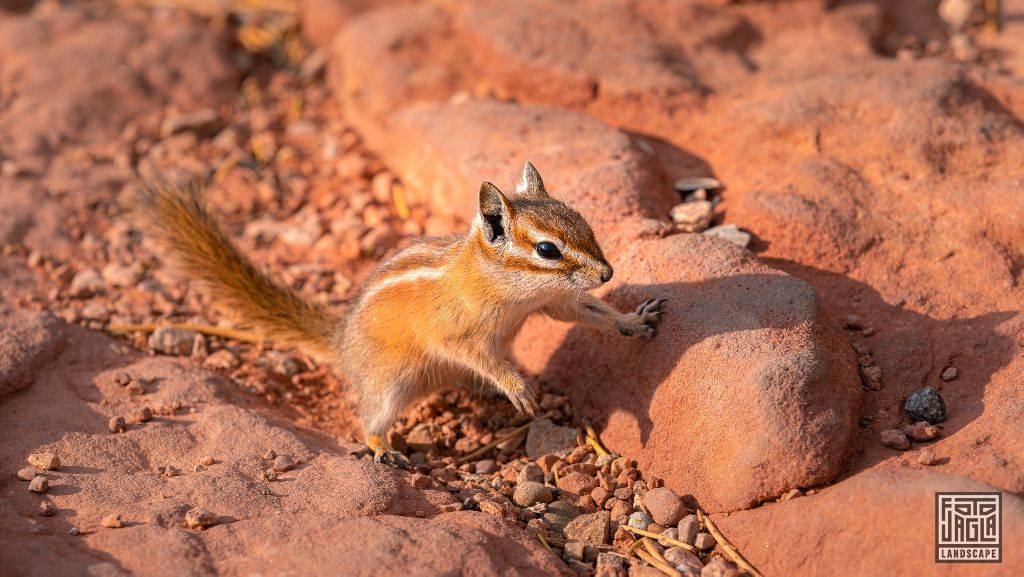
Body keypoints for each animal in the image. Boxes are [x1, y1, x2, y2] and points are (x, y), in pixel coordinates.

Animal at [139, 162, 665, 465]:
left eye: (584, 223)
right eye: (547, 249)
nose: (607, 272)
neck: (502, 284)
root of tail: (341, 341)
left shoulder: (555, 303)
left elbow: (588, 313)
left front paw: (633, 320)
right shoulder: (460, 336)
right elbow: (484, 358)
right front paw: (517, 388)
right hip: (388, 385)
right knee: (370, 419)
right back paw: (383, 449)